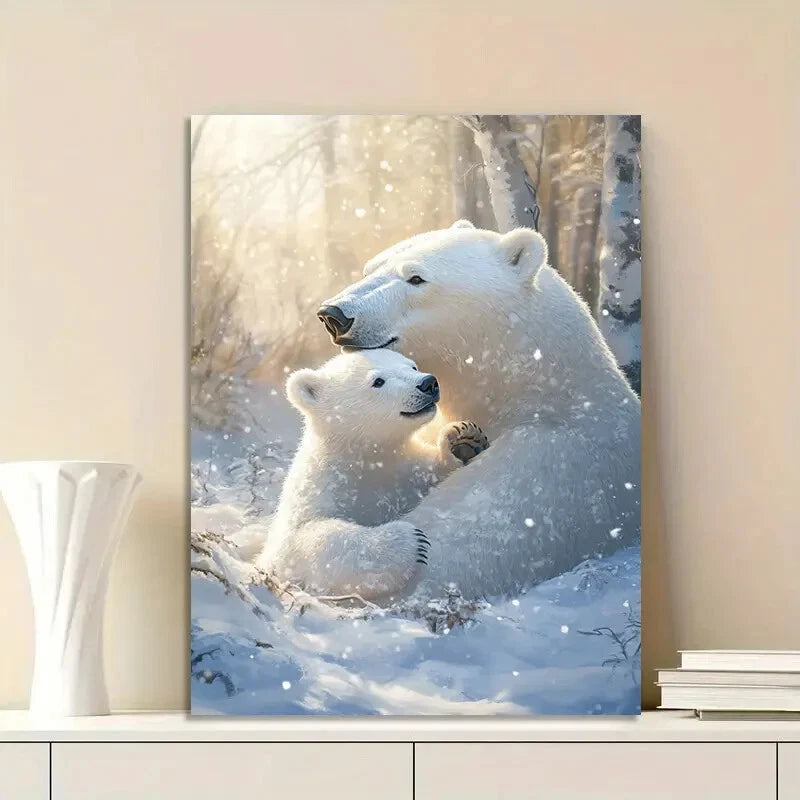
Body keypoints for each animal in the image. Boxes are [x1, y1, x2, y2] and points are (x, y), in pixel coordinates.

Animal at [257, 348, 489, 601]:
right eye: (378, 381)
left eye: (412, 366)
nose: (428, 383)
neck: (364, 458)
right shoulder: (318, 494)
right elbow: (313, 539)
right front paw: (410, 542)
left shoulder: (404, 472)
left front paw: (463, 440)